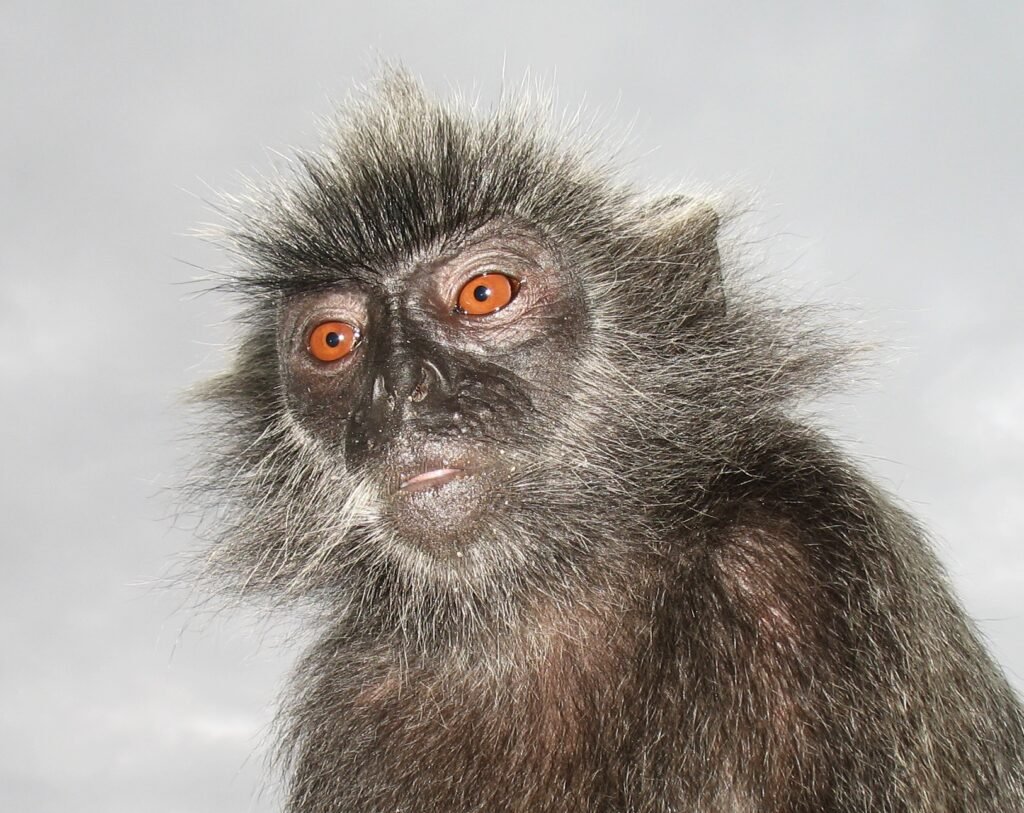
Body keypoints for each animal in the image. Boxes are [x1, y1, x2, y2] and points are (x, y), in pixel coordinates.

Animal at [186, 71, 1024, 812]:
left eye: (483, 293)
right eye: (333, 340)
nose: (400, 390)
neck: (547, 595)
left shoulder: (809, 556)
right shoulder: (354, 699)